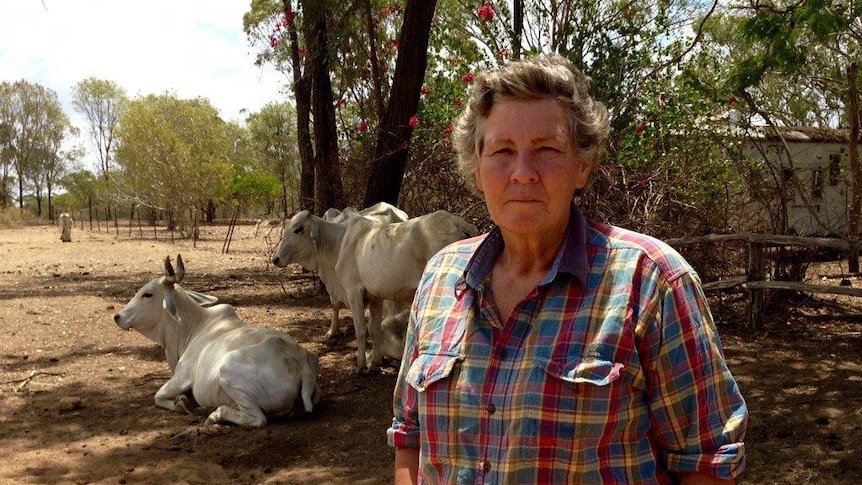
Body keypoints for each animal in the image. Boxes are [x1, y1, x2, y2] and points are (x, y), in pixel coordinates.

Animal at [113, 255, 318, 426]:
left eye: (147, 294)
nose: (117, 316)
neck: (192, 328)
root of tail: (301, 362)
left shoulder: (182, 377)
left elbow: (158, 396)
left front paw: (181, 404)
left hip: (227, 370)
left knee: (257, 419)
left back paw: (215, 414)